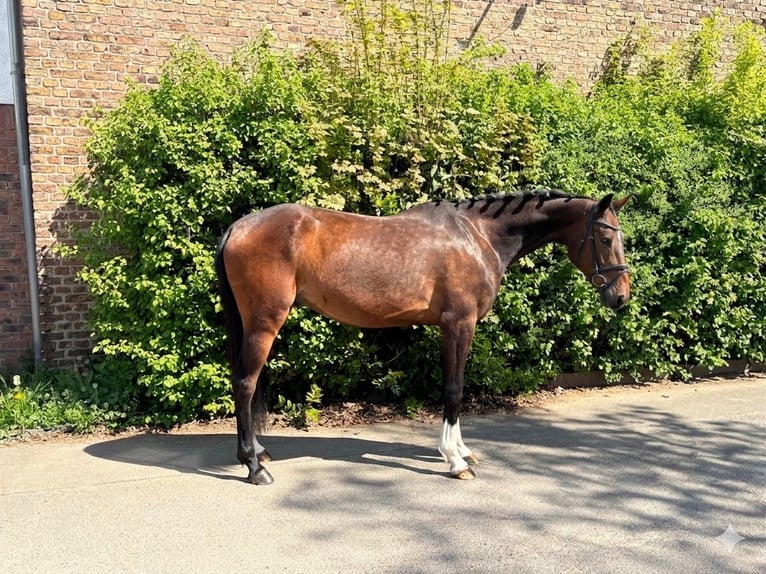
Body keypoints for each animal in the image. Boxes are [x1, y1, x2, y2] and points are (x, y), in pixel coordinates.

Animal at [215, 189, 631, 485]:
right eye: (604, 237)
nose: (621, 297)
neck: (477, 236)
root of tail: (238, 227)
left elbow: (455, 388)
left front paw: (462, 450)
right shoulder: (459, 324)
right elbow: (454, 389)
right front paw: (455, 460)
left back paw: (258, 452)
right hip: (264, 323)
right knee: (245, 383)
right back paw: (254, 467)